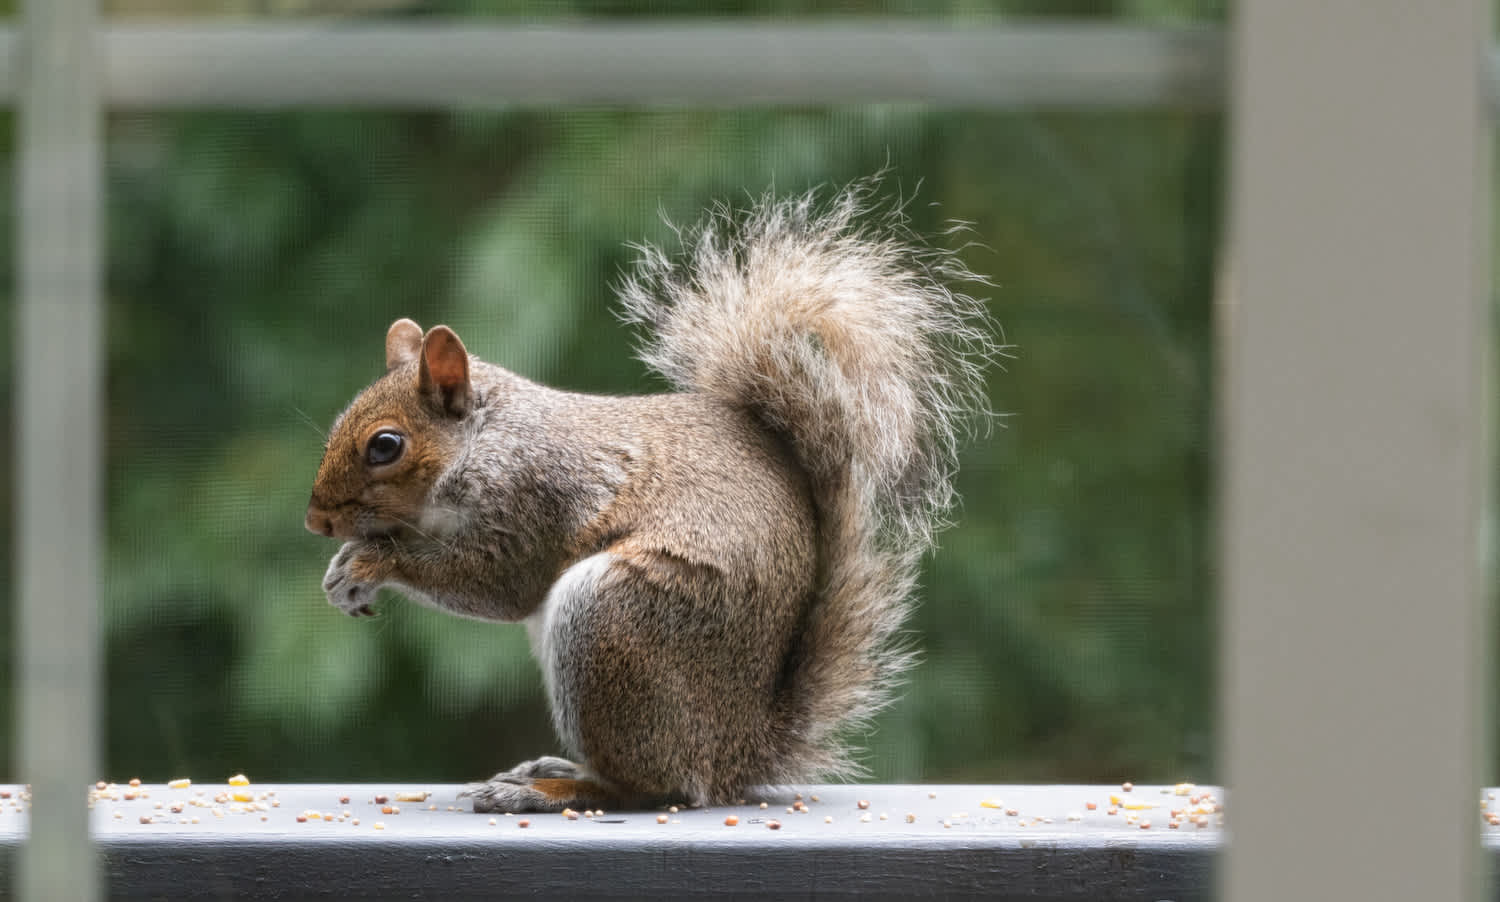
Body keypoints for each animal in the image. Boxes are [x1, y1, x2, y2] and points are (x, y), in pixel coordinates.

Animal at [305, 180, 997, 813]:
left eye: (385, 446)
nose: (316, 522)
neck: (483, 441)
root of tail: (736, 751)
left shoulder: (536, 495)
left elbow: (503, 585)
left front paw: (371, 563)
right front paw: (342, 572)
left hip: (614, 619)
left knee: (651, 787)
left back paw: (551, 790)